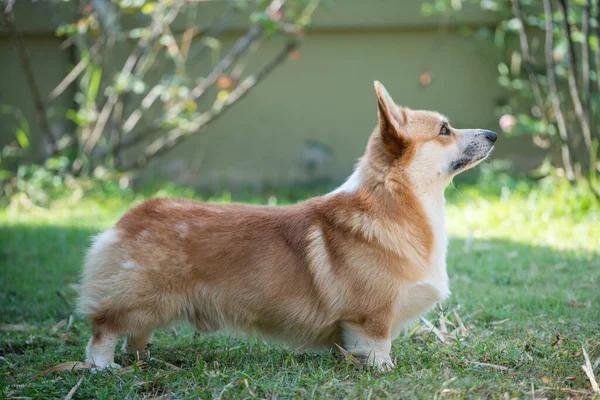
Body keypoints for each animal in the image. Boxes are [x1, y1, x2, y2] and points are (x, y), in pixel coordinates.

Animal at [78, 81, 496, 372]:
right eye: (444, 130)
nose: (494, 134)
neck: (399, 202)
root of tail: (133, 215)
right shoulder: (371, 319)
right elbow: (378, 349)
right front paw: (385, 371)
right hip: (138, 301)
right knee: (104, 331)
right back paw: (104, 367)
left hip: (153, 309)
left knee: (136, 337)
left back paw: (144, 360)